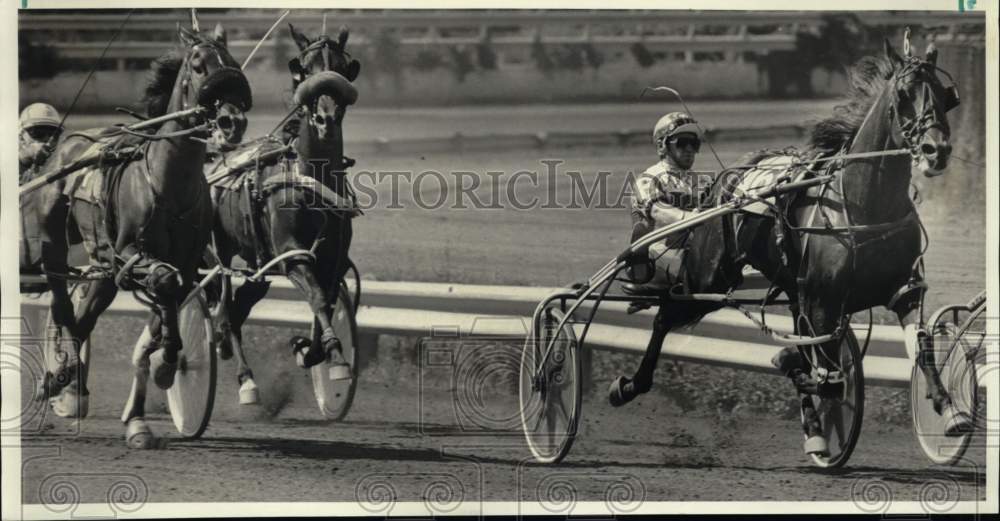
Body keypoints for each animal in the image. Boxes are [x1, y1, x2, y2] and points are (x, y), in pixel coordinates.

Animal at [22, 23, 252, 446]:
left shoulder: (180, 261)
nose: (232, 122)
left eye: (233, 62)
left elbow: (171, 298)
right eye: (198, 64)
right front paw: (163, 363)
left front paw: (162, 368)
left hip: (103, 268)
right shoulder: (131, 253)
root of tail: (65, 147)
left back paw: (66, 384)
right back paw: (63, 377)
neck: (168, 184)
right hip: (52, 245)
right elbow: (163, 283)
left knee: (83, 319)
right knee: (63, 304)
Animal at [210, 22, 364, 392]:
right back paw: (245, 379)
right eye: (304, 69)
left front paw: (308, 349)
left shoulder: (333, 259)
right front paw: (335, 358)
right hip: (220, 250)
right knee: (225, 305)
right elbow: (318, 297)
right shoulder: (292, 254)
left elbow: (327, 301)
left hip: (258, 261)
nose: (325, 118)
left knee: (242, 302)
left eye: (341, 69)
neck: (310, 179)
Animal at [604, 35, 964, 460]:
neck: (862, 204)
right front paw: (798, 368)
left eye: (945, 94)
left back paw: (816, 433)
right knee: (665, 315)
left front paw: (950, 409)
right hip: (708, 278)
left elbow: (918, 347)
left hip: (785, 289)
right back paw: (628, 385)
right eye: (904, 94)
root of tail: (726, 183)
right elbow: (826, 377)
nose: (936, 150)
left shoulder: (901, 291)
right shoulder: (822, 299)